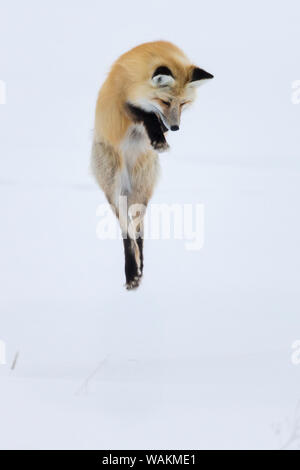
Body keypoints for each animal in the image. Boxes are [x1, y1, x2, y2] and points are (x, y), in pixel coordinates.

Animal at [91, 41, 213, 290]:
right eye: (165, 101)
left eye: (184, 103)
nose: (175, 128)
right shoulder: (121, 101)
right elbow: (146, 115)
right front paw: (158, 138)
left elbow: (153, 119)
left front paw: (160, 137)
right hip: (115, 189)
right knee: (126, 232)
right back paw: (131, 272)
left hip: (141, 193)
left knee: (138, 234)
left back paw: (140, 268)